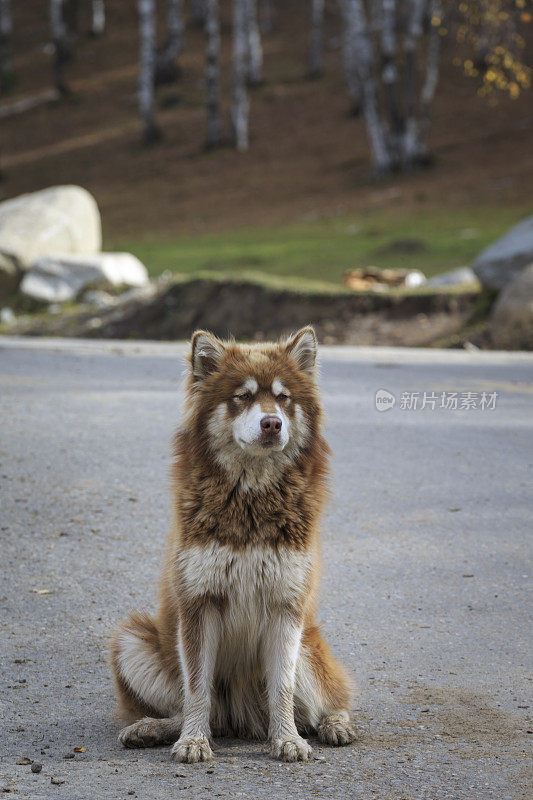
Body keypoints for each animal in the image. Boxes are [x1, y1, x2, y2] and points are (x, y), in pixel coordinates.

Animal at [110, 324, 356, 764]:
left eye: (283, 398)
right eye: (242, 397)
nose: (272, 423)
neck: (250, 501)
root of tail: (241, 718)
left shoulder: (286, 606)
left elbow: (282, 689)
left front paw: (288, 739)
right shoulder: (197, 605)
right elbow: (196, 690)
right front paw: (192, 740)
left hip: (309, 648)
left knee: (329, 699)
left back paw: (333, 724)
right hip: (132, 641)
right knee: (196, 710)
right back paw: (152, 728)